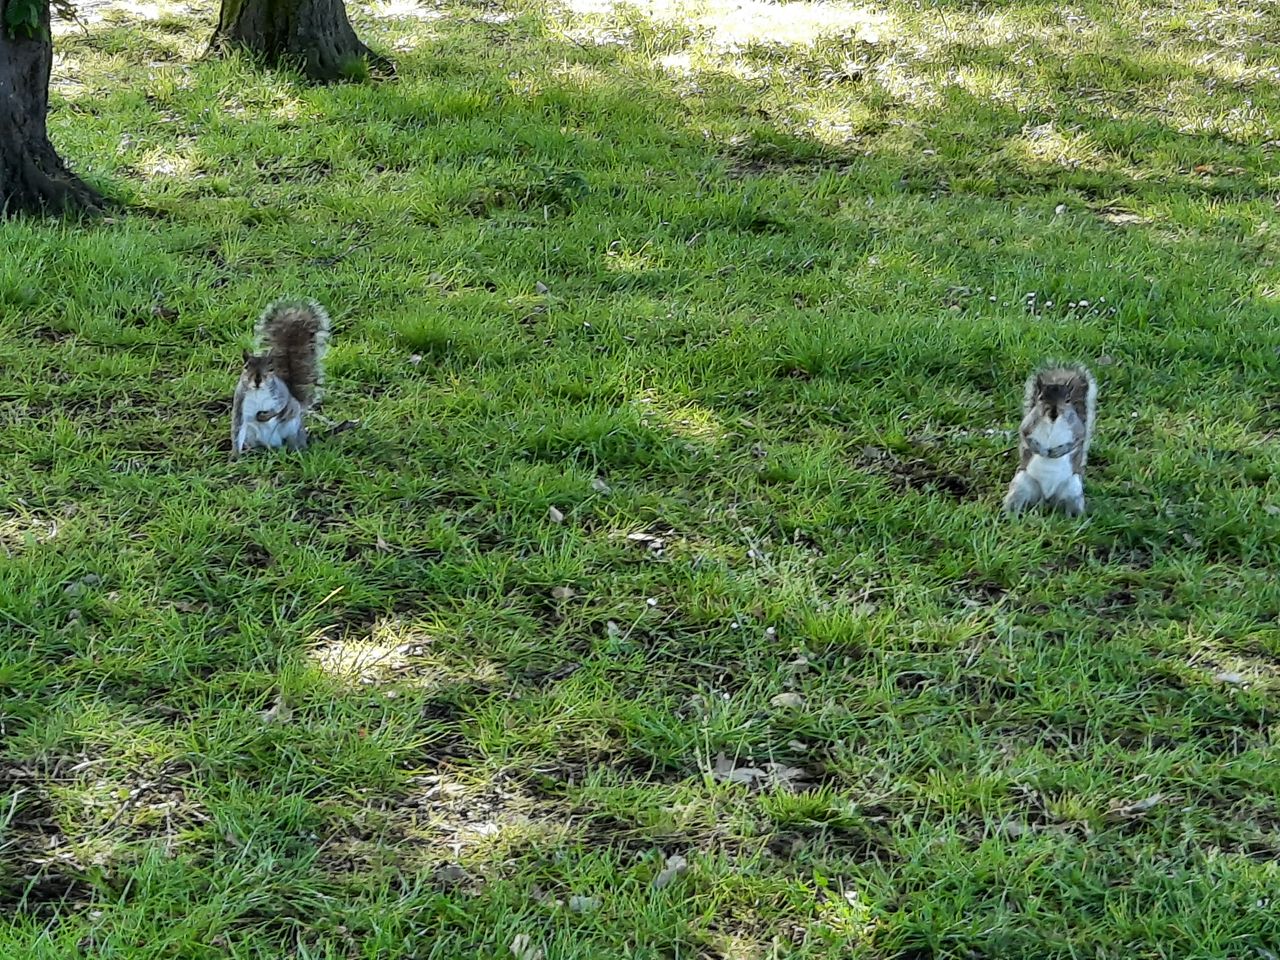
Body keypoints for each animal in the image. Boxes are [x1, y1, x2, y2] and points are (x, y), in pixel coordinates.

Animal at [230, 299, 331, 460]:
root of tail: (272, 445)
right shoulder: (240, 403)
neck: (258, 392)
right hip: (252, 435)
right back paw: (254, 450)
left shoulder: (280, 394)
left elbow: (281, 406)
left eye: (271, 369)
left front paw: (266, 416)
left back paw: (297, 449)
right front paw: (235, 456)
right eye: (246, 367)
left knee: (292, 438)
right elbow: (237, 430)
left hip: (292, 428)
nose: (257, 380)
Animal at [1002, 362, 1097, 517]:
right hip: (1021, 484)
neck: (1052, 422)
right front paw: (1041, 450)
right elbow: (1024, 435)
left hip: (1073, 490)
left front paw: (1057, 452)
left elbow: (1078, 440)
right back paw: (1010, 516)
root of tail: (1046, 499)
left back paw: (1075, 519)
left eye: (1068, 400)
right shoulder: (1029, 424)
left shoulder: (1077, 428)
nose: (1054, 413)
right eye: (1040, 398)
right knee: (1016, 502)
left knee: (1072, 508)